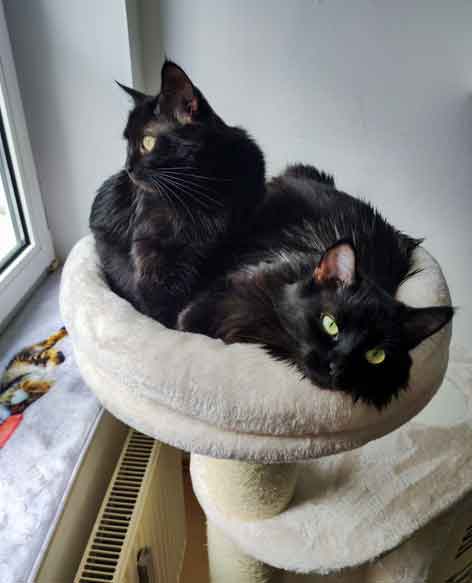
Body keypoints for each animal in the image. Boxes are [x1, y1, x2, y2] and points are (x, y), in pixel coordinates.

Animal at [90, 61, 265, 327]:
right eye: (127, 142)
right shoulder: (154, 266)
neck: (203, 190)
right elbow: (162, 317)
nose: (127, 167)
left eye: (147, 142)